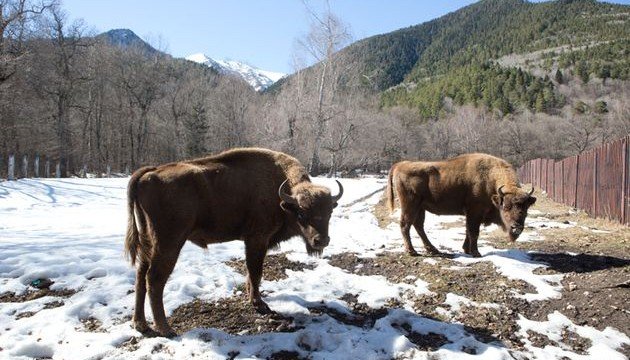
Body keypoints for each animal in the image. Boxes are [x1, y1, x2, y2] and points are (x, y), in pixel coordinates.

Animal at [124, 147, 346, 338]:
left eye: (329, 212)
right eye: (301, 213)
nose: (321, 240)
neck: (280, 193)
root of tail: (149, 172)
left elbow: (250, 273)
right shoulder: (257, 239)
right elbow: (255, 272)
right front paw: (259, 304)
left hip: (148, 242)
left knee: (140, 275)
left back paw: (140, 324)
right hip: (169, 244)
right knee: (154, 279)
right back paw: (166, 329)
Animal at [388, 153, 536, 258]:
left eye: (525, 208)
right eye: (505, 207)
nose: (516, 228)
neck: (490, 177)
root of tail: (400, 164)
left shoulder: (471, 214)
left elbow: (467, 231)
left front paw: (467, 250)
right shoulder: (475, 212)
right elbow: (474, 232)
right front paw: (476, 253)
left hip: (420, 208)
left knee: (418, 226)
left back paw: (433, 250)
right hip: (410, 205)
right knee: (405, 225)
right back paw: (412, 251)